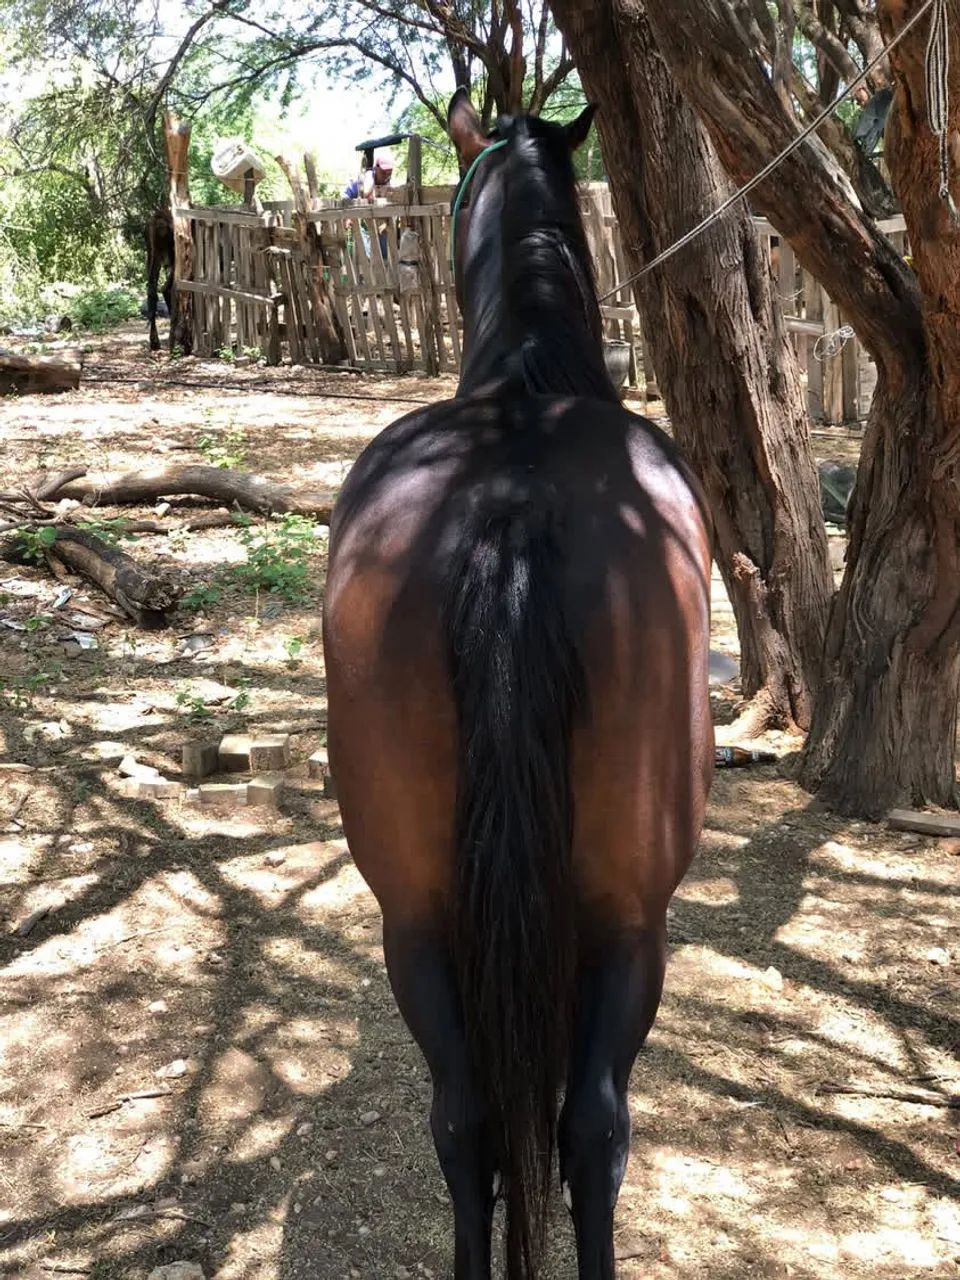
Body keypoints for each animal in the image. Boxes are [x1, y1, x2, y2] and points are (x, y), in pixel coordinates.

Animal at [323, 89, 713, 1280]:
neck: (527, 376)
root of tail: (511, 495)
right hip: (630, 919)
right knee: (589, 1126)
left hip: (414, 909)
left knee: (466, 1119)